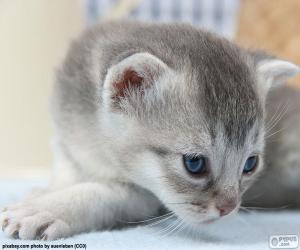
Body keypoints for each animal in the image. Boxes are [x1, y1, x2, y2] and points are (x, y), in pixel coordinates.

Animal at [0, 21, 300, 240]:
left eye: (250, 163)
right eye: (194, 163)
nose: (229, 208)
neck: (96, 143)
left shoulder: (149, 198)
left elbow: (107, 193)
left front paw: (48, 208)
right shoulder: (66, 137)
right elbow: (66, 169)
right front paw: (47, 192)